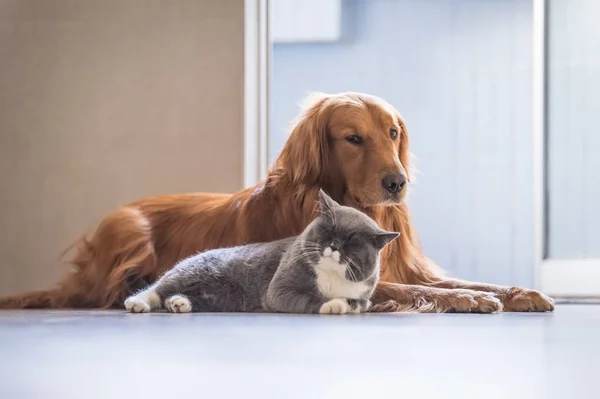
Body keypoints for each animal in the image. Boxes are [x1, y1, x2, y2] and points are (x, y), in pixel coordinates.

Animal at [123, 191, 398, 316]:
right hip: (191, 272)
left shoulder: (364, 294)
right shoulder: (279, 289)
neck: (331, 276)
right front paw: (333, 304)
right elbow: (308, 299)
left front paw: (348, 303)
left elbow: (361, 303)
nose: (334, 246)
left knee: (174, 297)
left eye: (352, 240)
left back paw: (180, 303)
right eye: (328, 229)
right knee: (157, 289)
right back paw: (138, 303)